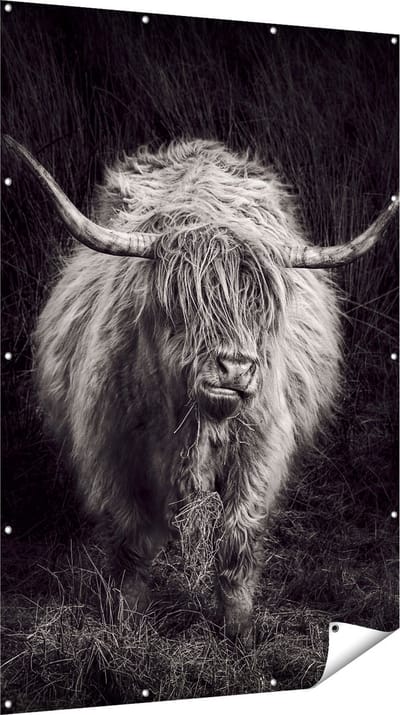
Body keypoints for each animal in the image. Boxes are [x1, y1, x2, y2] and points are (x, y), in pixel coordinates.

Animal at [4, 135, 397, 638]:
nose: (236, 368)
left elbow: (237, 539)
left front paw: (238, 629)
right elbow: (131, 541)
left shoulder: (260, 452)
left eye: (259, 308)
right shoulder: (112, 451)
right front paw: (127, 623)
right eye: (184, 306)